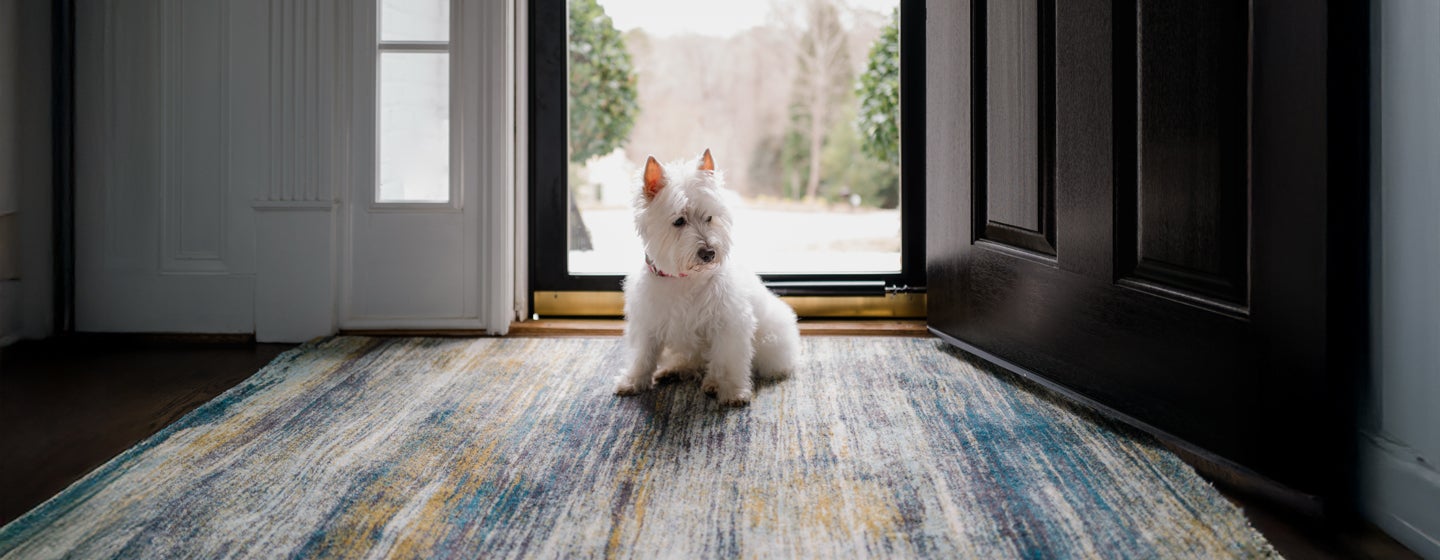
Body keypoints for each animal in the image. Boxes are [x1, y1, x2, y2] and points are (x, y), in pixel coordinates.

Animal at [614, 149, 801, 406]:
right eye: (679, 221)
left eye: (709, 217)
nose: (709, 253)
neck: (683, 278)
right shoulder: (648, 322)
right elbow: (643, 356)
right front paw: (632, 381)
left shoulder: (729, 323)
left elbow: (729, 360)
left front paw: (733, 392)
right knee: (690, 362)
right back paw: (672, 371)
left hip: (769, 340)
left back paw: (712, 383)